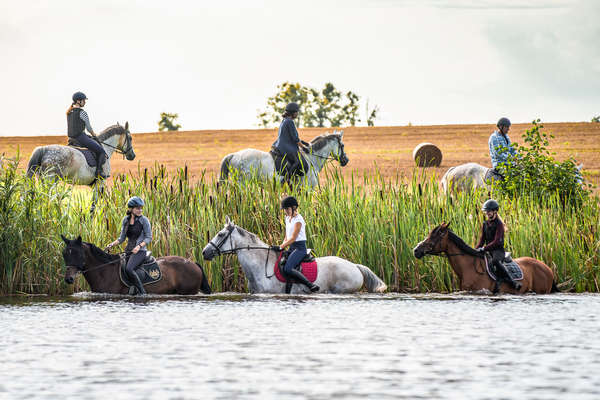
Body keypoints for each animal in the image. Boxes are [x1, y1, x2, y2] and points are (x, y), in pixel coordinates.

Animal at [218, 130, 350, 188]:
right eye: (342, 145)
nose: (346, 160)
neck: (312, 159)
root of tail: (234, 155)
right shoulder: (307, 188)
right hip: (244, 183)